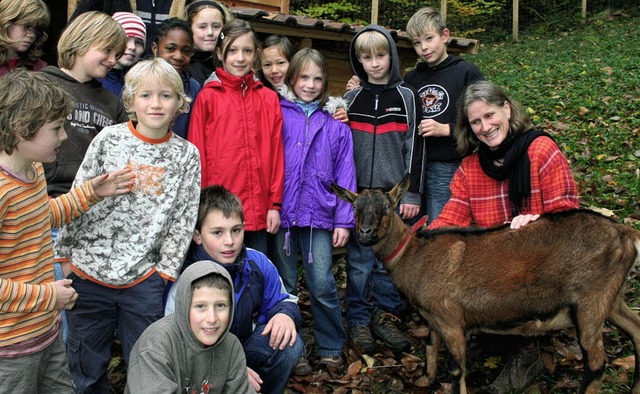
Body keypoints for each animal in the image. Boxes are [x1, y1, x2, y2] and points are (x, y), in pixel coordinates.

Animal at [332, 176, 640, 394]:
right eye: (355, 207)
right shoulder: (434, 316)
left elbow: (457, 371)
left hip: (590, 301)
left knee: (597, 364)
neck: (414, 255)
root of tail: (627, 235)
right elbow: (430, 346)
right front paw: (425, 380)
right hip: (612, 298)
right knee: (636, 330)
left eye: (386, 208)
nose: (365, 233)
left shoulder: (451, 319)